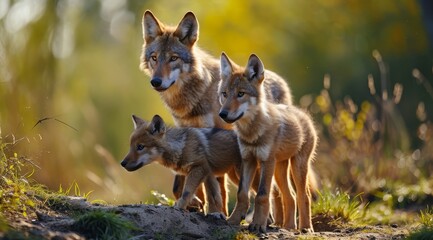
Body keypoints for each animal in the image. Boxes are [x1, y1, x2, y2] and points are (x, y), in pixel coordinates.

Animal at [140, 9, 292, 216]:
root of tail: (280, 80)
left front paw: (213, 210)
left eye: (173, 58)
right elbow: (182, 185)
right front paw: (196, 205)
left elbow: (213, 186)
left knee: (275, 190)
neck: (193, 98)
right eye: (154, 57)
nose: (156, 81)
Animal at [218, 53, 316, 232]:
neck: (252, 134)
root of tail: (302, 113)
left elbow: (262, 195)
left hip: (297, 167)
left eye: (241, 94)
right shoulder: (248, 160)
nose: (222, 114)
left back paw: (305, 228)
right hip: (279, 170)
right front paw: (233, 220)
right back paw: (288, 227)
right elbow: (242, 194)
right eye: (225, 94)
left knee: (303, 195)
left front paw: (258, 224)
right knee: (290, 197)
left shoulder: (266, 161)